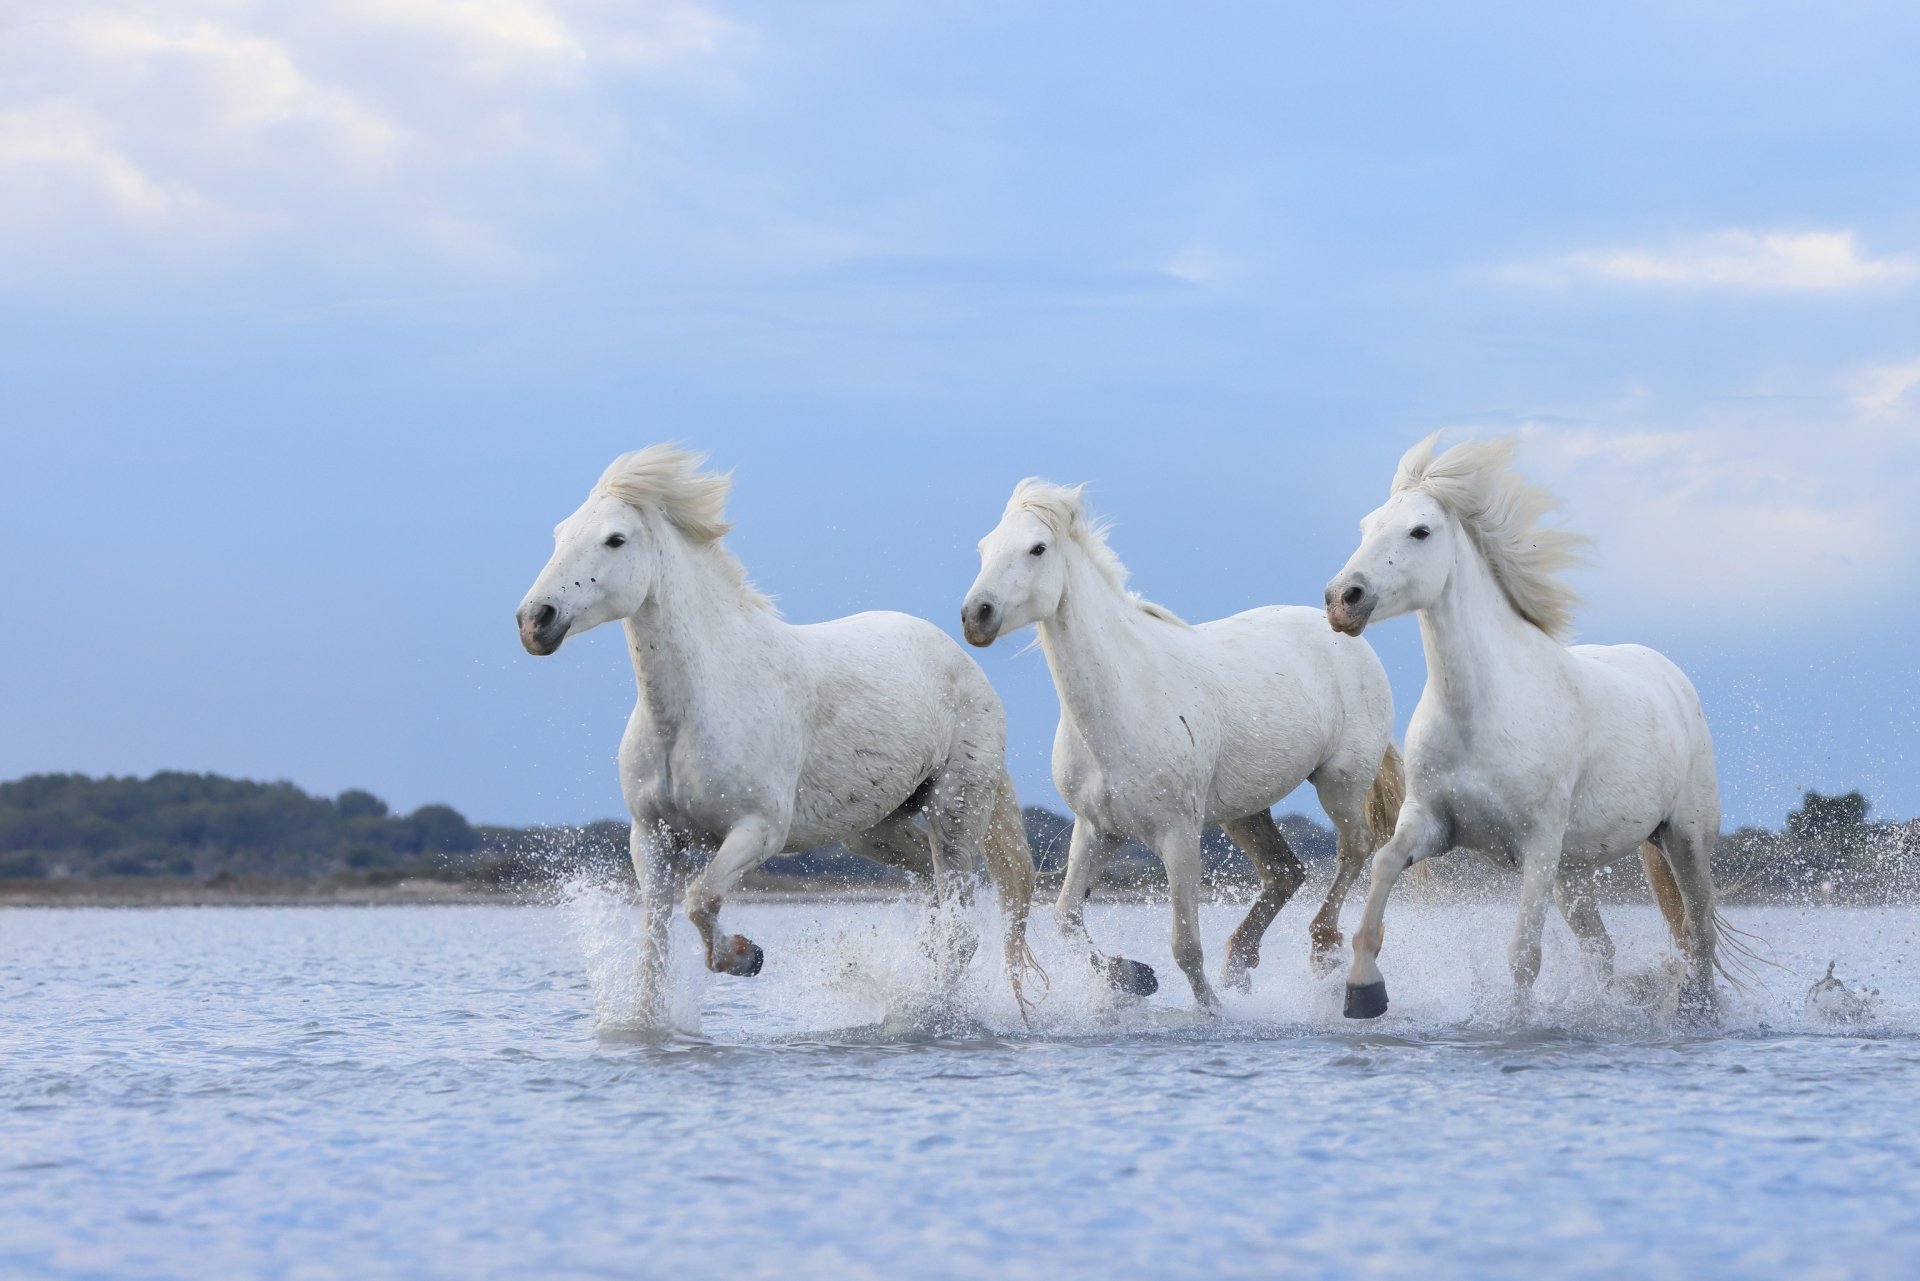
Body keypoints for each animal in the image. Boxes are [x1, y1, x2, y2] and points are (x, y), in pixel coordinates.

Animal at [515, 446, 1038, 1022]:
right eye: (561, 532)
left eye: (615, 539)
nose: (535, 620)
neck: (692, 709)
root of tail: (964, 661)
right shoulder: (651, 836)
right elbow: (653, 946)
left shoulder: (758, 830)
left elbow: (701, 899)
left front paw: (745, 956)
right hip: (872, 826)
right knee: (930, 886)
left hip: (956, 813)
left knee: (961, 931)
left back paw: (932, 1013)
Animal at [961, 479, 1403, 1011]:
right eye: (984, 547)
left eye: (1037, 548)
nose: (976, 615)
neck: (1124, 701)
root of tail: (1345, 631)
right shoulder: (1097, 828)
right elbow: (1066, 916)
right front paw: (1131, 977)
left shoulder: (1178, 836)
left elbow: (1185, 944)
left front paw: (1210, 1009)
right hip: (1244, 810)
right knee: (1285, 871)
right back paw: (1239, 964)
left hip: (1339, 783)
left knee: (1355, 849)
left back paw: (1324, 953)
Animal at [1325, 434, 1725, 1021]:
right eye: (1366, 526)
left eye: (1420, 531)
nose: (1342, 600)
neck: (1481, 712)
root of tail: (1672, 678)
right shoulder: (1431, 823)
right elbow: (1383, 867)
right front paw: (1363, 990)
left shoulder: (1536, 844)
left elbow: (1523, 955)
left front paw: (1515, 1023)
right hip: (1574, 869)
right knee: (1601, 948)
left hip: (1685, 839)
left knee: (1699, 935)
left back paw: (1699, 1013)